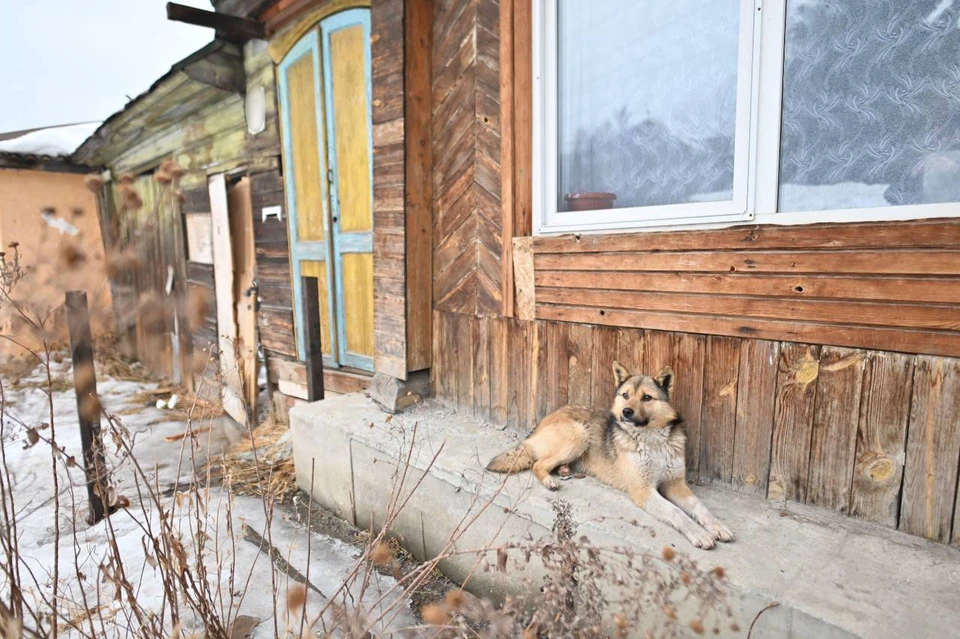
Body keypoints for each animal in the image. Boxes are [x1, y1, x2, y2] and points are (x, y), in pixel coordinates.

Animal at [488, 362, 736, 552]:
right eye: (625, 396)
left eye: (647, 398)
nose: (626, 412)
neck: (652, 439)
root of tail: (540, 424)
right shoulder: (643, 490)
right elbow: (676, 512)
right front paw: (698, 533)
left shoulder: (676, 484)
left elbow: (700, 507)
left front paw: (717, 526)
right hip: (579, 434)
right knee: (538, 464)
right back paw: (550, 480)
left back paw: (564, 470)